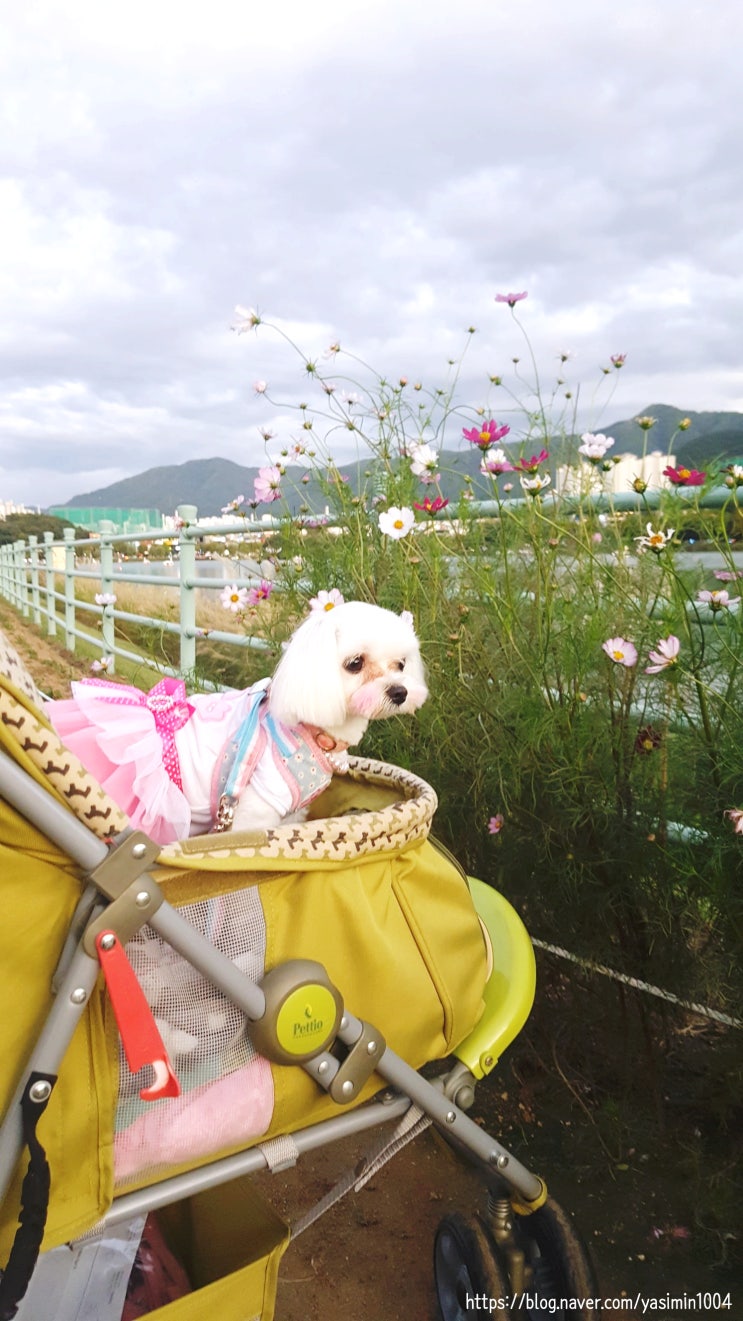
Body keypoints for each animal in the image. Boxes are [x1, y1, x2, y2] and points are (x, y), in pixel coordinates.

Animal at [46, 599, 427, 845]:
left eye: (401, 664)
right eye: (354, 663)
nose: (399, 692)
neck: (313, 731)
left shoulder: (291, 814)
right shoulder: (255, 811)